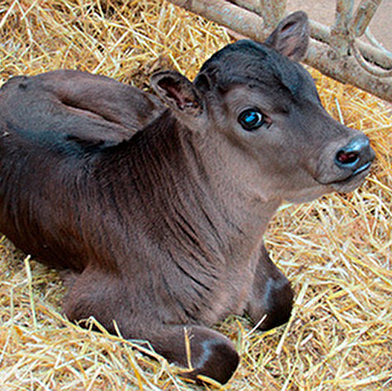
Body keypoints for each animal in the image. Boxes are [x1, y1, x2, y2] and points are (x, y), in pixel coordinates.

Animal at [0, 11, 374, 386]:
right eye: (250, 116)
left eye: (310, 85)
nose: (356, 148)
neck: (230, 262)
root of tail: (14, 81)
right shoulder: (91, 305)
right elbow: (218, 352)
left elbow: (278, 298)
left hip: (137, 102)